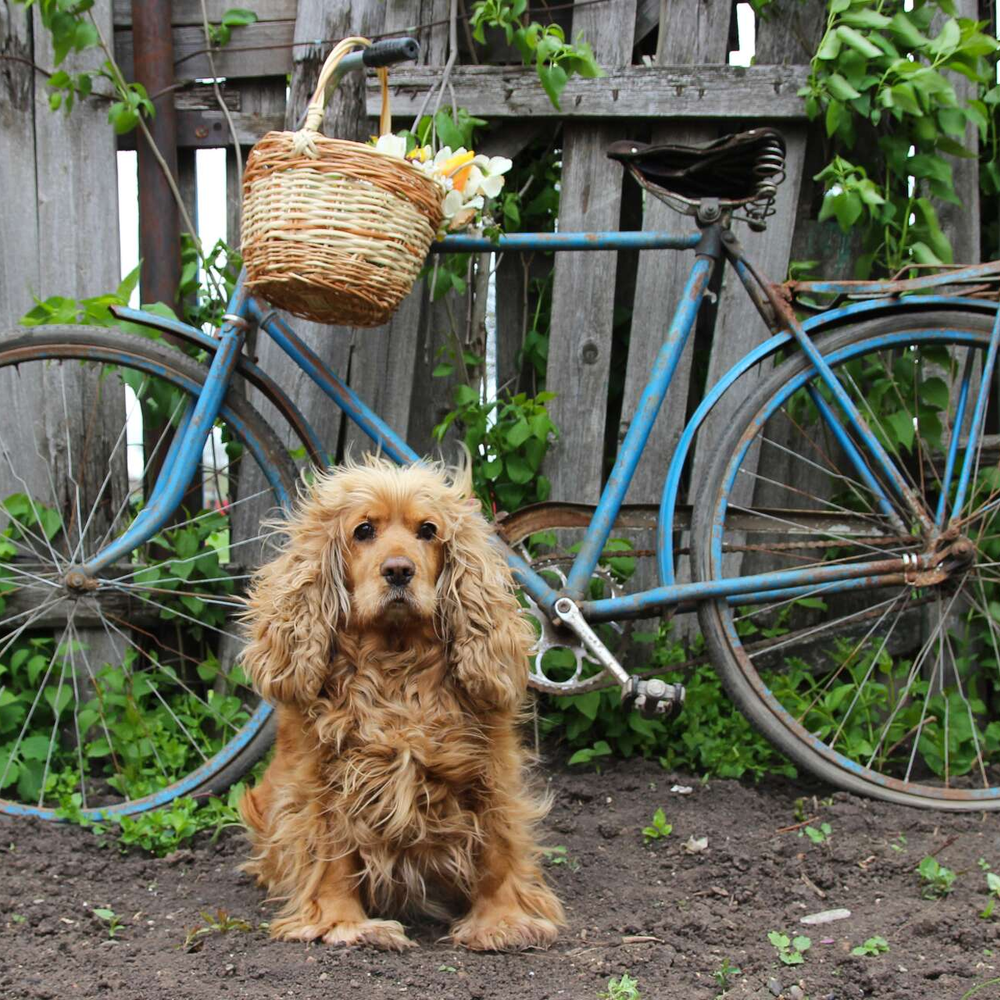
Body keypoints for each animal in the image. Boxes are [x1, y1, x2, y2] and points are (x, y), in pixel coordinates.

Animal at [235, 458, 564, 948]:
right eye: (363, 530)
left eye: (427, 530)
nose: (398, 571)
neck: (396, 662)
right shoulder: (324, 776)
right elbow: (330, 851)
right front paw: (342, 922)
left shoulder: (489, 765)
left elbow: (496, 845)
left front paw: (502, 920)